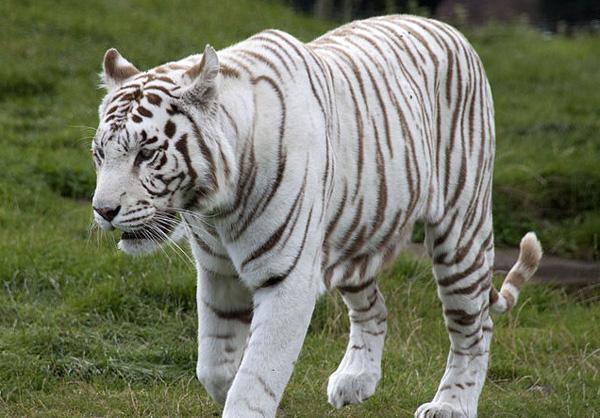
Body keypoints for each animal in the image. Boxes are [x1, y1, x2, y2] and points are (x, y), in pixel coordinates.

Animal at [90, 14, 544, 416]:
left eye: (146, 153)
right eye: (100, 154)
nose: (103, 210)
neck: (214, 208)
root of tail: (449, 29)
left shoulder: (286, 279)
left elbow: (256, 377)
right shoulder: (218, 272)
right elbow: (215, 367)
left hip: (460, 231)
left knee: (474, 327)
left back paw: (450, 405)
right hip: (355, 232)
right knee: (374, 307)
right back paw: (357, 381)